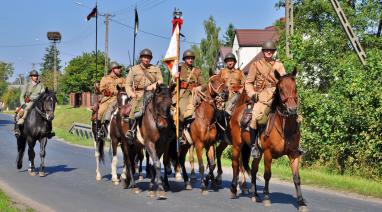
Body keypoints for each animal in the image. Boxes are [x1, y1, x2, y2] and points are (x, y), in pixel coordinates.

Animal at [230, 68, 308, 211]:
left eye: (295, 87)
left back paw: (255, 195)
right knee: (236, 164)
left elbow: (296, 178)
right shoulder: (268, 153)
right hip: (237, 145)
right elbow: (267, 174)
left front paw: (301, 202)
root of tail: (238, 110)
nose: (292, 109)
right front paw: (267, 197)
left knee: (253, 169)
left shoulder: (294, 154)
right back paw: (233, 190)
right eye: (281, 89)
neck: (284, 127)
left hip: (257, 152)